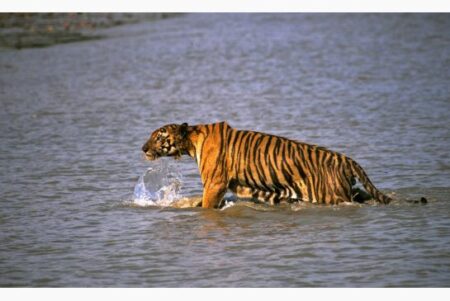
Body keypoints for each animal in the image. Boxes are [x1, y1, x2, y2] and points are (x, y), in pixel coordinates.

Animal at [140, 120, 398, 207]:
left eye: (158, 137)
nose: (143, 149)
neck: (191, 142)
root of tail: (346, 158)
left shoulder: (214, 183)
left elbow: (205, 205)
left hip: (331, 194)